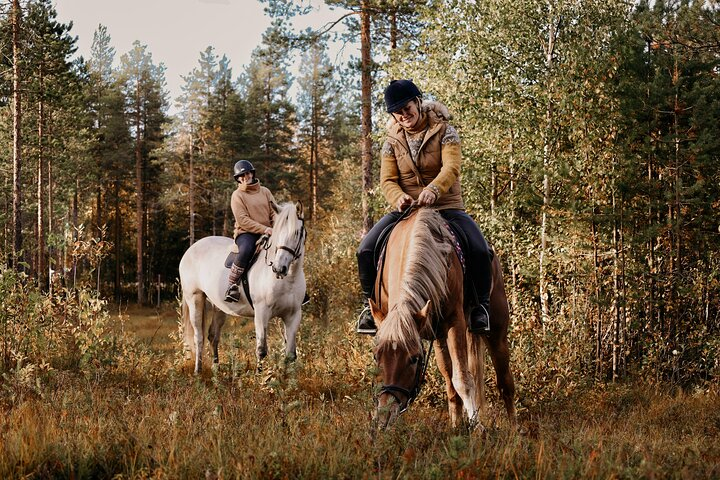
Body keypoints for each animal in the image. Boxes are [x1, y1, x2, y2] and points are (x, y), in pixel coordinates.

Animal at [180, 201, 306, 374]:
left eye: (297, 233)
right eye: (277, 232)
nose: (279, 268)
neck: (288, 281)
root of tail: (191, 249)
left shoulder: (293, 316)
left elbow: (291, 355)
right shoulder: (261, 313)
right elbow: (261, 349)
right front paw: (260, 377)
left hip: (219, 306)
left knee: (213, 336)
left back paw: (216, 370)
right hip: (195, 298)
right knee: (199, 337)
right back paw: (198, 372)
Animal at [368, 206, 516, 428]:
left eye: (414, 359)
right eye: (377, 356)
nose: (385, 417)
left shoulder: (454, 322)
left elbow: (463, 379)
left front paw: (477, 427)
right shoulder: (434, 328)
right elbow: (451, 379)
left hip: (496, 330)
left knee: (504, 381)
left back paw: (515, 428)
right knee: (450, 380)